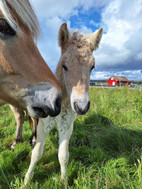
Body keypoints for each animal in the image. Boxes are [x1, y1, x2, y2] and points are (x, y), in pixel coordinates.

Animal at [24, 22, 102, 184]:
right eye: (64, 66)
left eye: (92, 67)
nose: (82, 107)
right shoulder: (44, 125)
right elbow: (36, 154)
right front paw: (26, 180)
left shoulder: (67, 127)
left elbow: (63, 156)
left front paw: (64, 181)